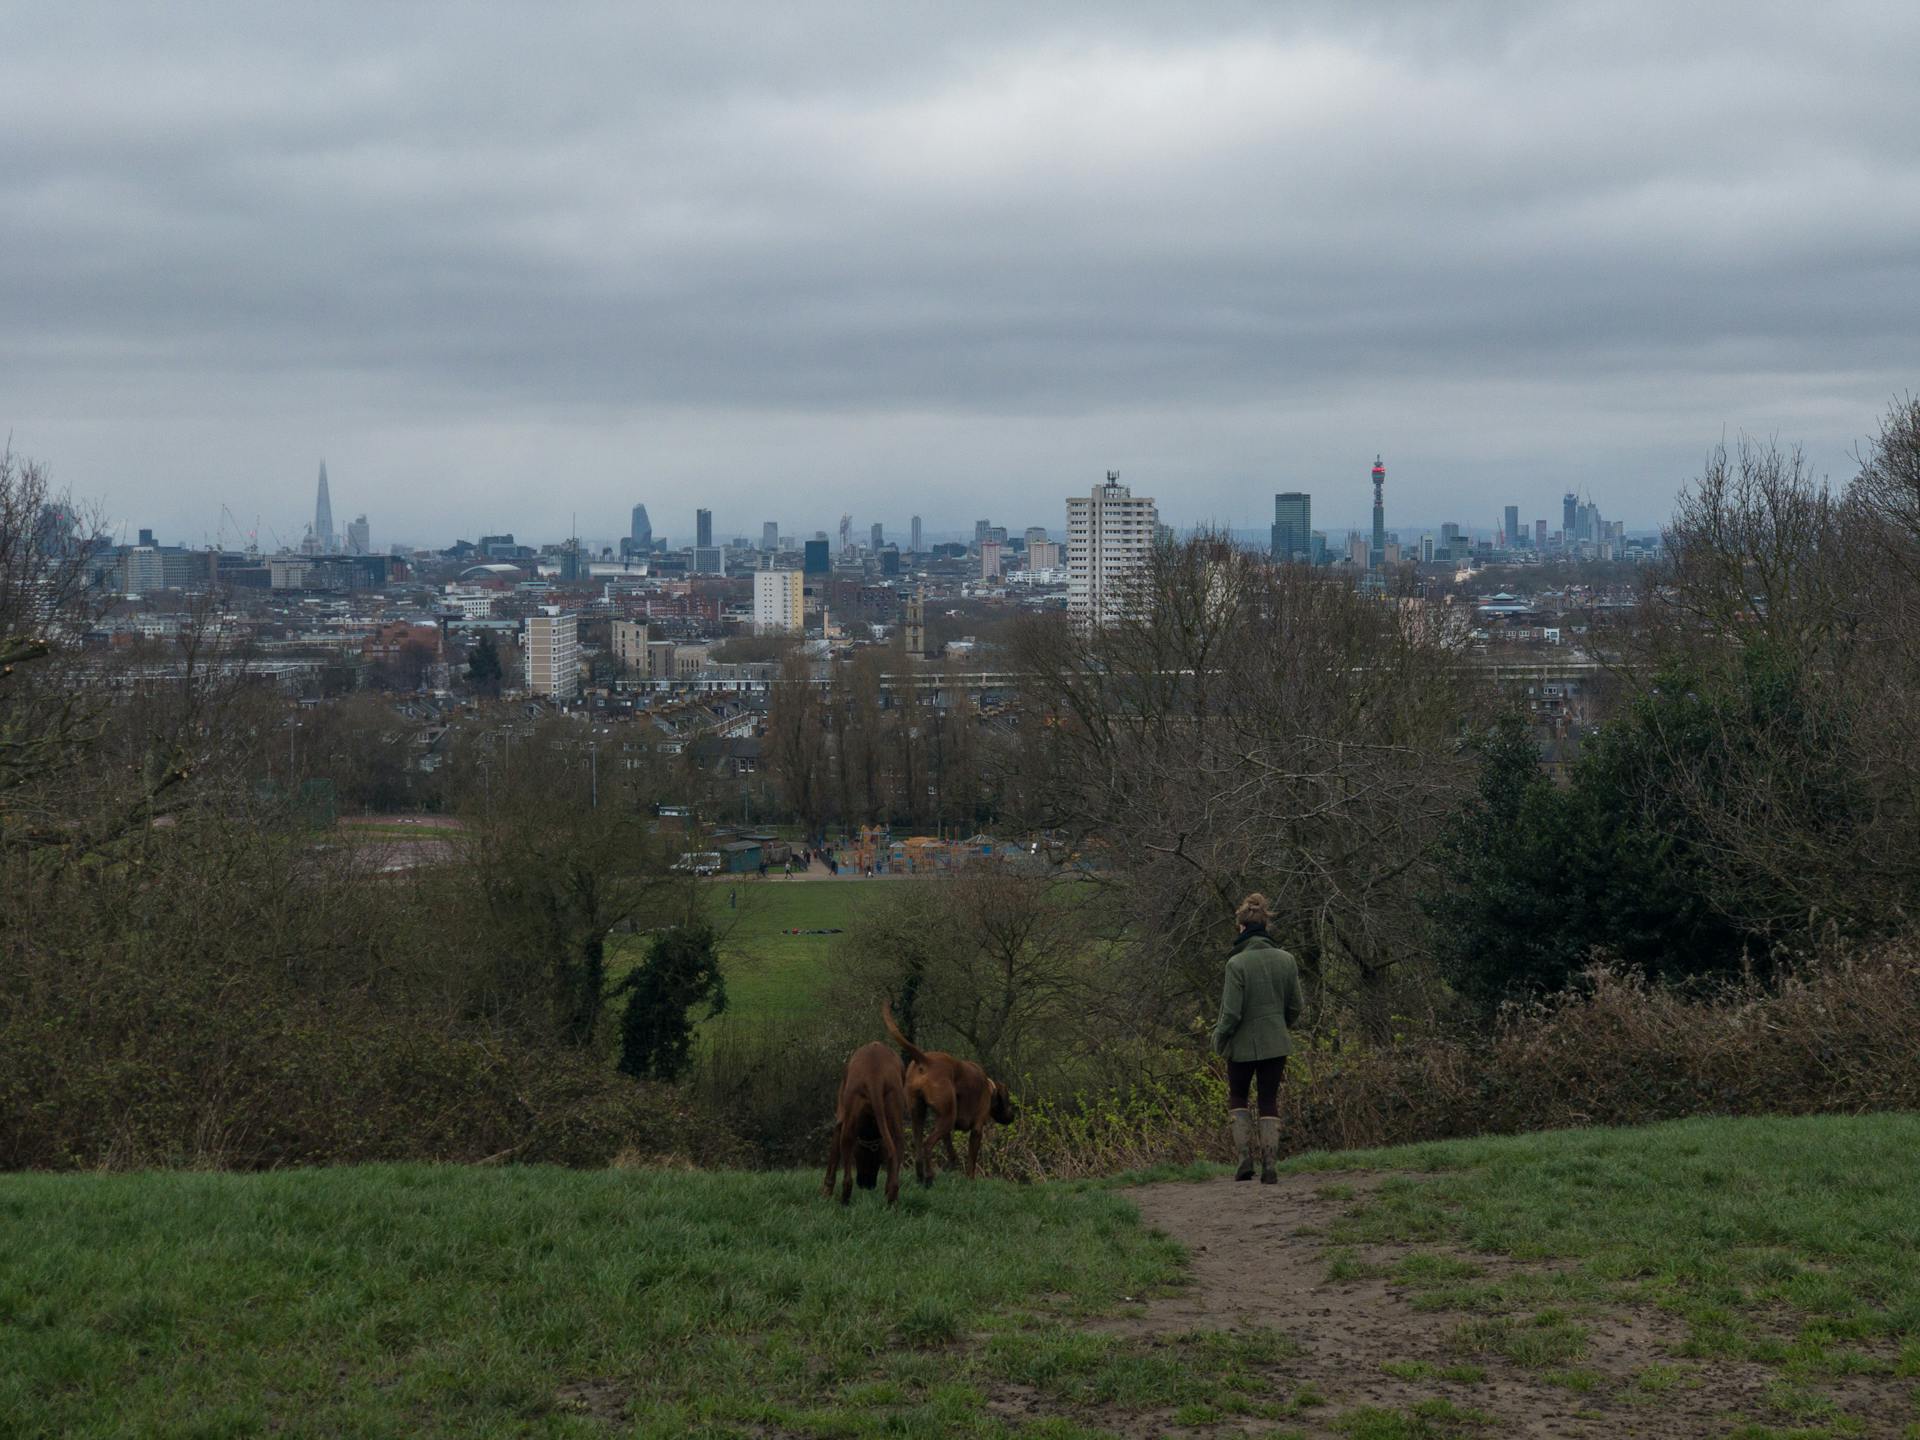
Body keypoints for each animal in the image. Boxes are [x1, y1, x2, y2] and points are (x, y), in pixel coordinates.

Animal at [821, 1044, 910, 1213]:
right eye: (878, 1160)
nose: (868, 1185)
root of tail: (875, 1076)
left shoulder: (840, 1119)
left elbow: (833, 1159)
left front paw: (826, 1194)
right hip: (895, 1104)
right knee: (897, 1149)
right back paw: (892, 1201)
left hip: (849, 1117)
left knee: (847, 1177)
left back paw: (844, 1202)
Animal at [879, 998, 1013, 1190]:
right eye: (1008, 1100)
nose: (1013, 1116)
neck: (990, 1087)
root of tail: (926, 1059)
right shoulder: (977, 1128)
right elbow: (971, 1161)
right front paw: (970, 1180)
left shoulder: (945, 1126)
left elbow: (951, 1151)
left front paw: (951, 1167)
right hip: (947, 1117)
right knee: (927, 1145)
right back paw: (929, 1177)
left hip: (919, 1112)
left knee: (918, 1145)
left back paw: (920, 1176)